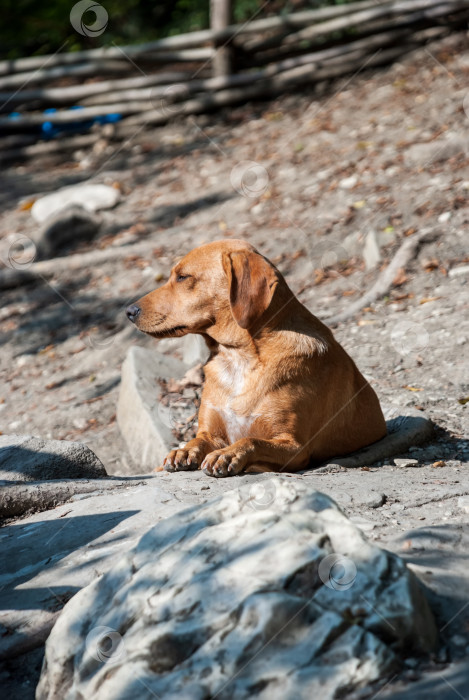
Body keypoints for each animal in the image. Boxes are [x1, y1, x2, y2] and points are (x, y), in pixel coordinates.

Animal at [126, 239, 386, 476]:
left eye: (182, 277)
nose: (129, 311)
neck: (238, 358)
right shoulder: (212, 433)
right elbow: (197, 439)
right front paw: (184, 450)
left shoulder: (295, 447)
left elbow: (252, 441)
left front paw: (227, 454)